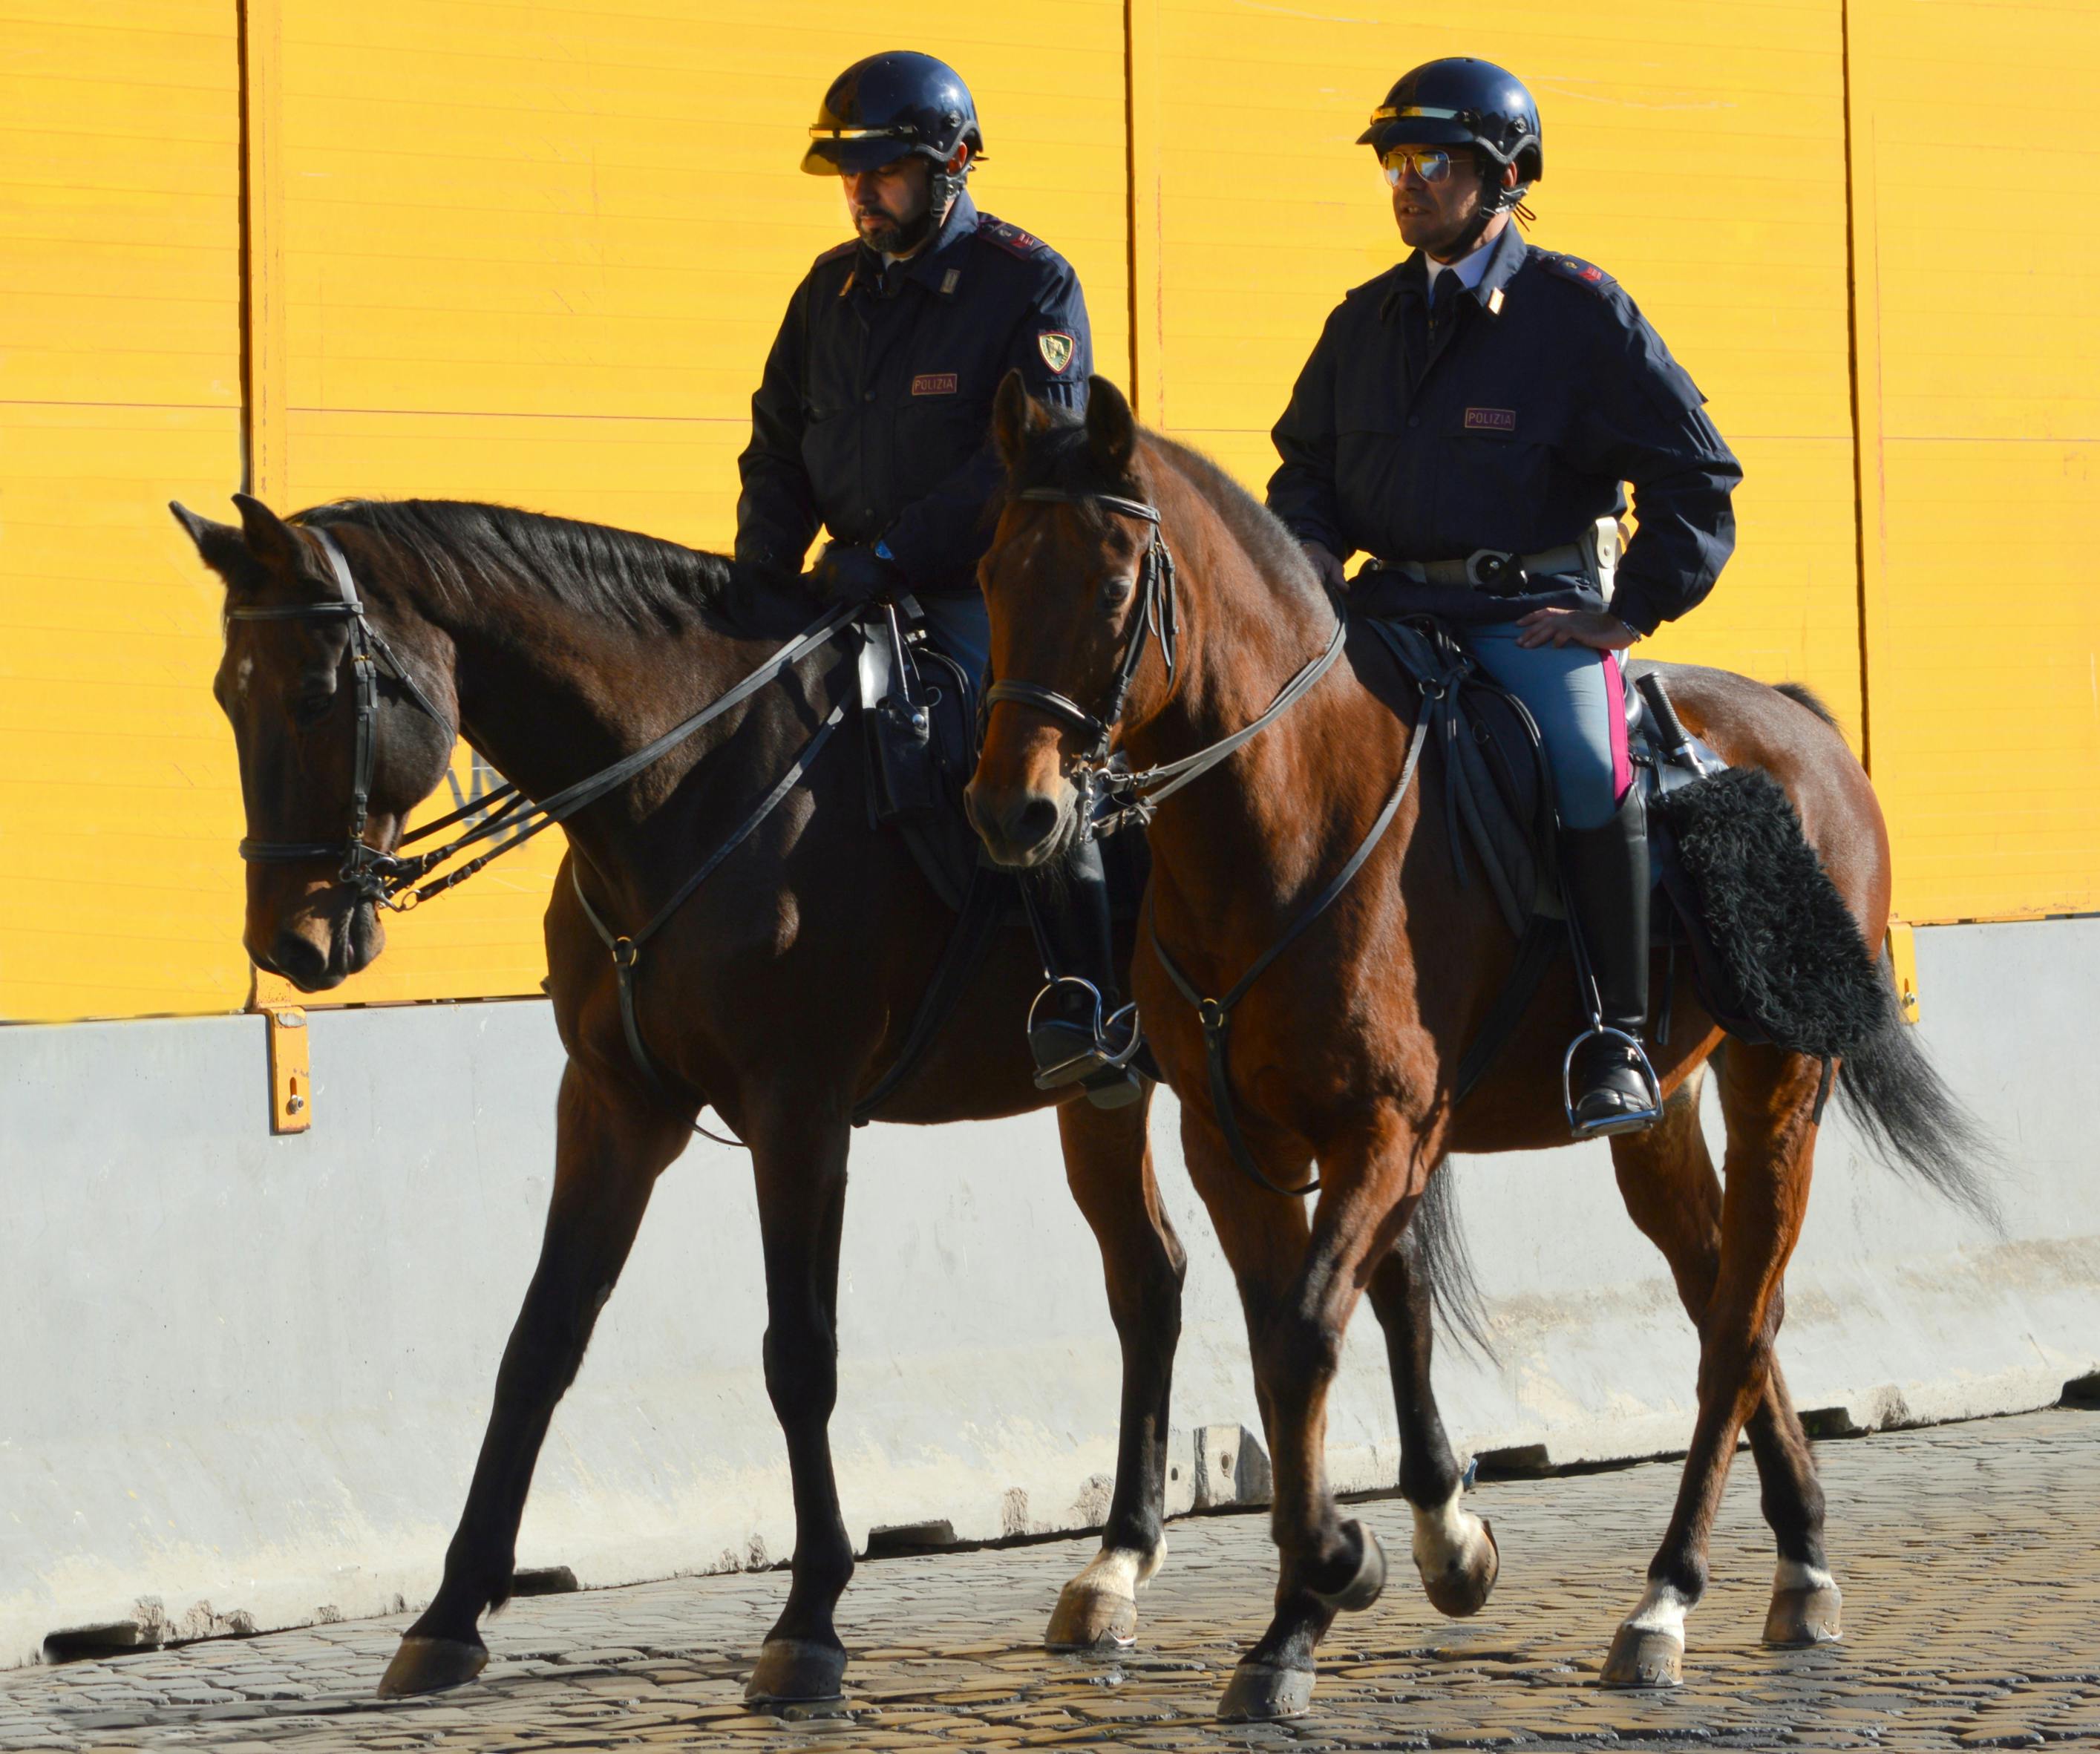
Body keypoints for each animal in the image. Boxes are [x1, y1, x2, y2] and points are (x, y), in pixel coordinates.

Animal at [176, 487, 1495, 1705]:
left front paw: (807, 1621)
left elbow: (799, 1352)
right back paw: (1116, 1567)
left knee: (1375, 1276)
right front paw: (449, 1613)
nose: (290, 944)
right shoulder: (613, 1104)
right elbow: (540, 1339)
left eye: (316, 695)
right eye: (227, 699)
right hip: (1117, 1092)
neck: (689, 783)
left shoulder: (796, 1110)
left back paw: (1442, 1533)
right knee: (1154, 1281)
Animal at [961, 373, 1990, 1714]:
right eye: (990, 573)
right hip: (1656, 1112)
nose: (1013, 810)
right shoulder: (1232, 1142)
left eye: (1111, 584)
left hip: (1780, 1082)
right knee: (1724, 1290)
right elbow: (1285, 1339)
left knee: (1735, 1324)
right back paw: (1800, 1562)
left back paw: (1663, 1600)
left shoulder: (1385, 1131)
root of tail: (1801, 725)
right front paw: (1333, 1593)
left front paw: (1337, 1574)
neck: (1280, 821)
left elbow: (1310, 1330)